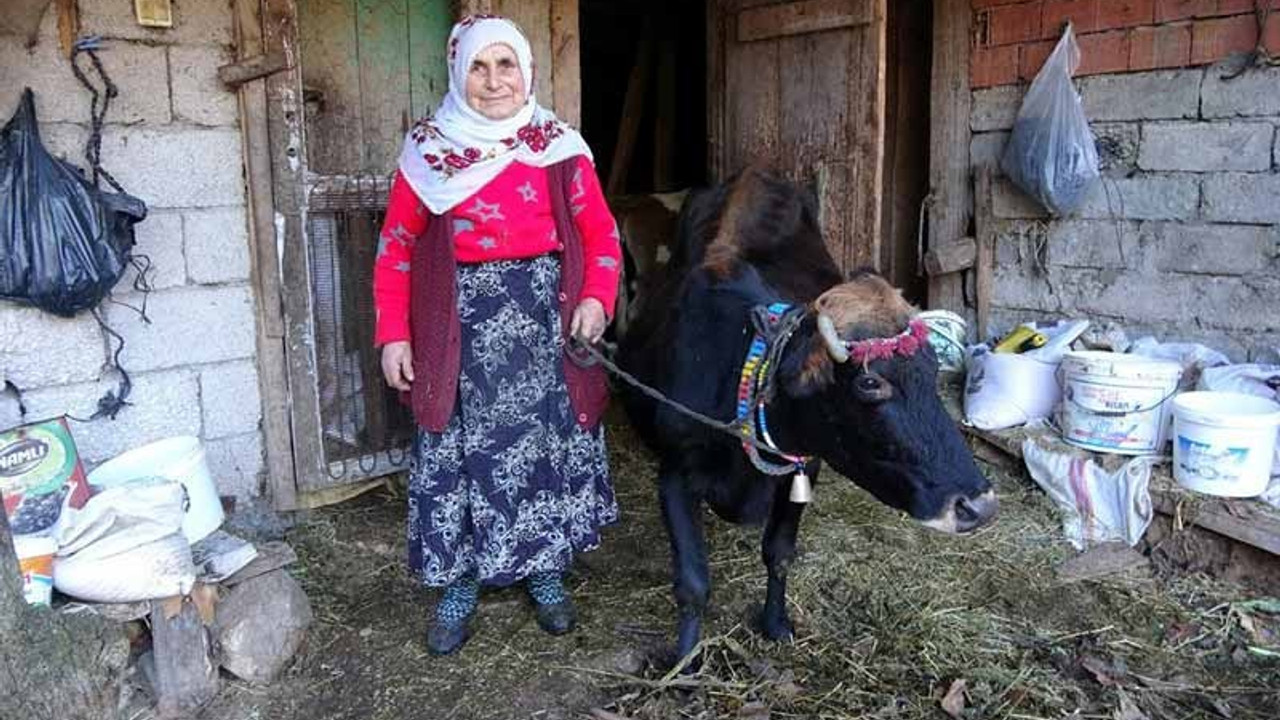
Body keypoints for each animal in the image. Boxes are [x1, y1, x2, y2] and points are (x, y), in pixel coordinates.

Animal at [616, 167, 998, 661]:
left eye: (932, 368)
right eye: (869, 384)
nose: (978, 506)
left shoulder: (805, 466)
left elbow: (779, 554)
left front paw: (776, 625)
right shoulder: (674, 473)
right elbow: (693, 583)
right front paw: (682, 660)